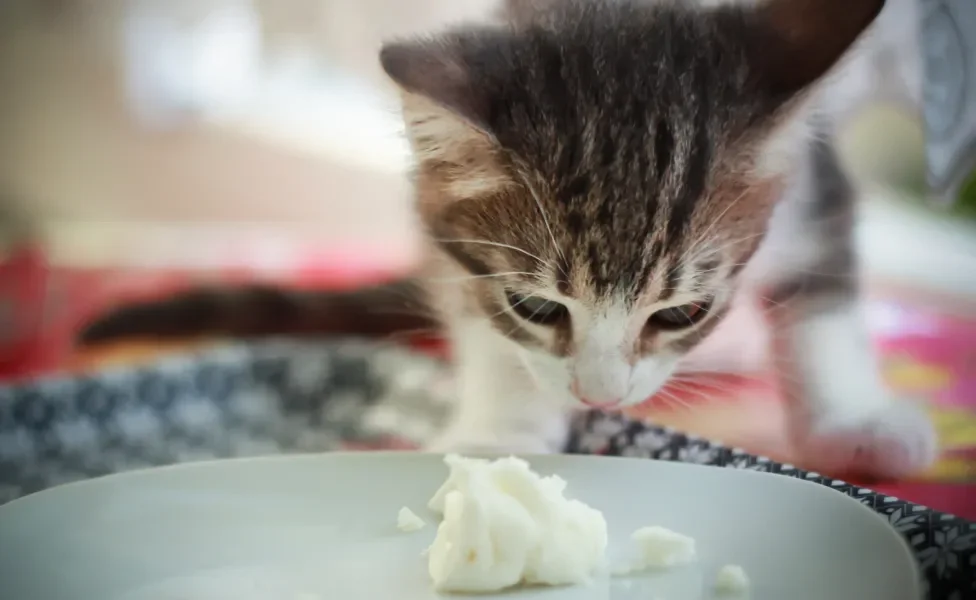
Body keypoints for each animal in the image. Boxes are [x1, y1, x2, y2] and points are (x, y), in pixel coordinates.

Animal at [80, 0, 936, 478]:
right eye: (539, 308)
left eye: (681, 314)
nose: (600, 396)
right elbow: (478, 312)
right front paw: (498, 431)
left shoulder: (816, 181)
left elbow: (823, 292)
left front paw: (856, 418)